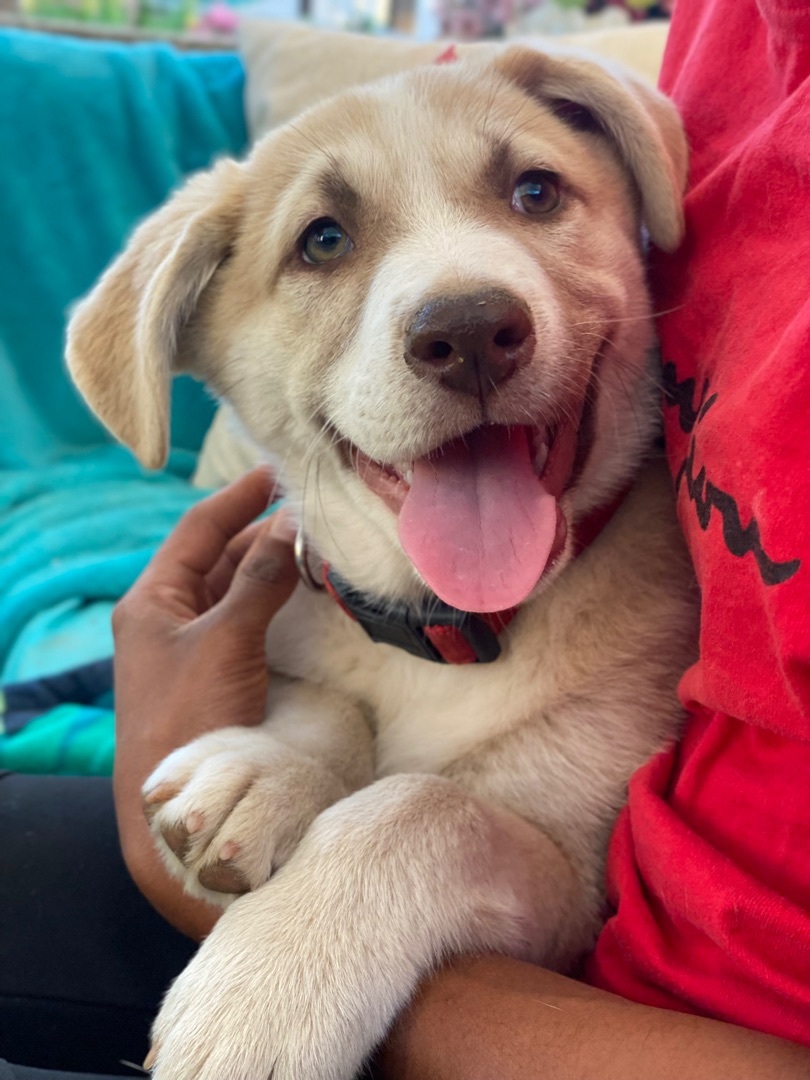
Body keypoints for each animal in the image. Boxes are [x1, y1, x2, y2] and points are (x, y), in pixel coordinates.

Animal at [68, 46, 699, 1080]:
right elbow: (329, 707)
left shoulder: (580, 891)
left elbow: (425, 808)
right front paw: (265, 770)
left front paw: (271, 979)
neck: (447, 629)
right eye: (323, 241)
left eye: (535, 191)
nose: (472, 329)